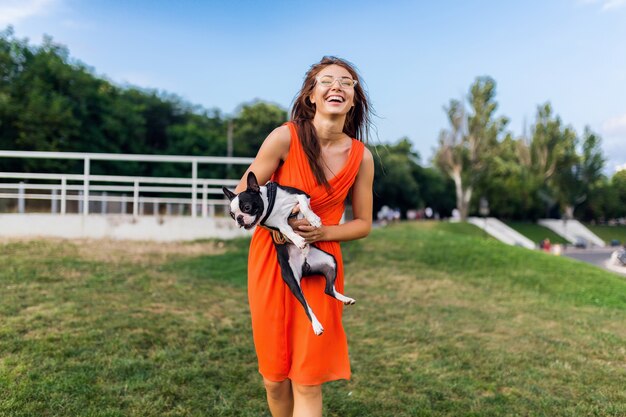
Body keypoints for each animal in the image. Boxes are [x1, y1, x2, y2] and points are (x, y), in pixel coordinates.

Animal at [222, 170, 354, 334]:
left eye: (246, 207)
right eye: (232, 215)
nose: (239, 219)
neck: (271, 205)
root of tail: (305, 266)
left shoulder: (301, 195)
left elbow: (303, 205)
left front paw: (313, 219)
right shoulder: (278, 224)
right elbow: (288, 231)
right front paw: (298, 241)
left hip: (330, 261)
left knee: (328, 289)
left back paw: (345, 299)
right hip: (292, 280)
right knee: (306, 304)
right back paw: (316, 325)